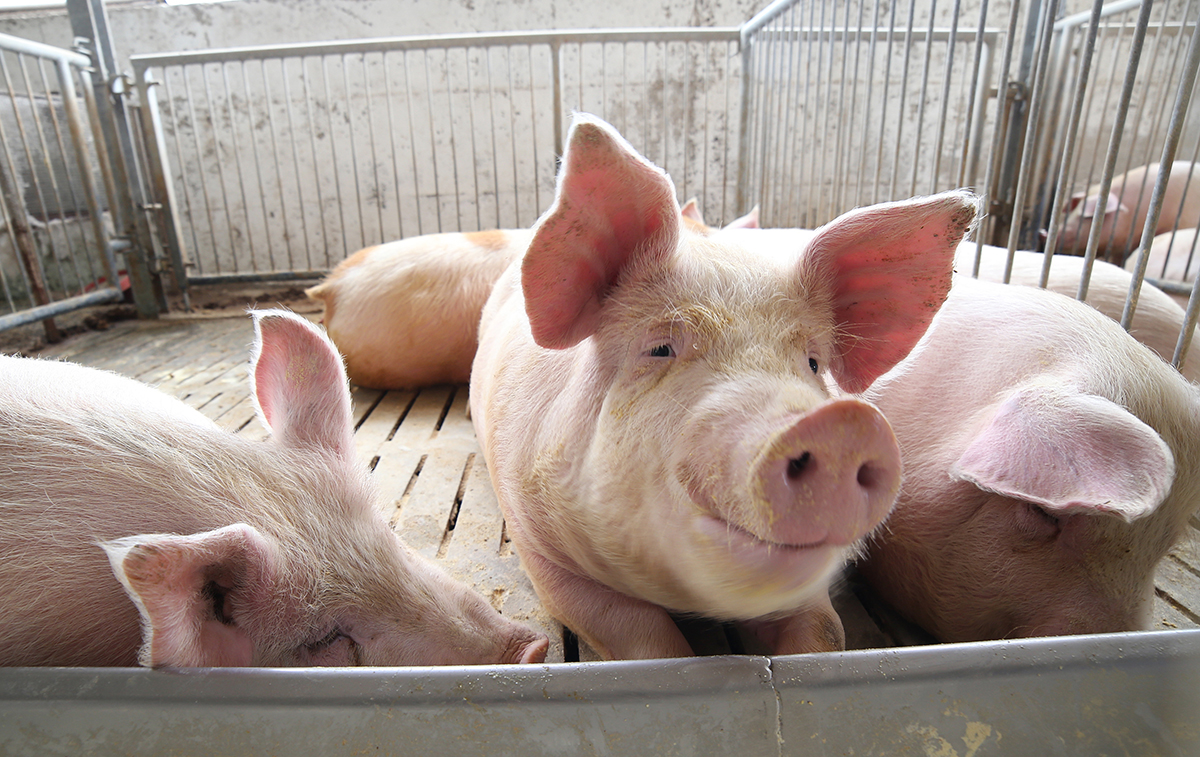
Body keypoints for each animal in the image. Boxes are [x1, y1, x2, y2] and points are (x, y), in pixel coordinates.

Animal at [468, 113, 974, 662]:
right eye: (660, 348)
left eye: (813, 363)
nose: (839, 426)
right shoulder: (538, 544)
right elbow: (641, 633)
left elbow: (825, 631)